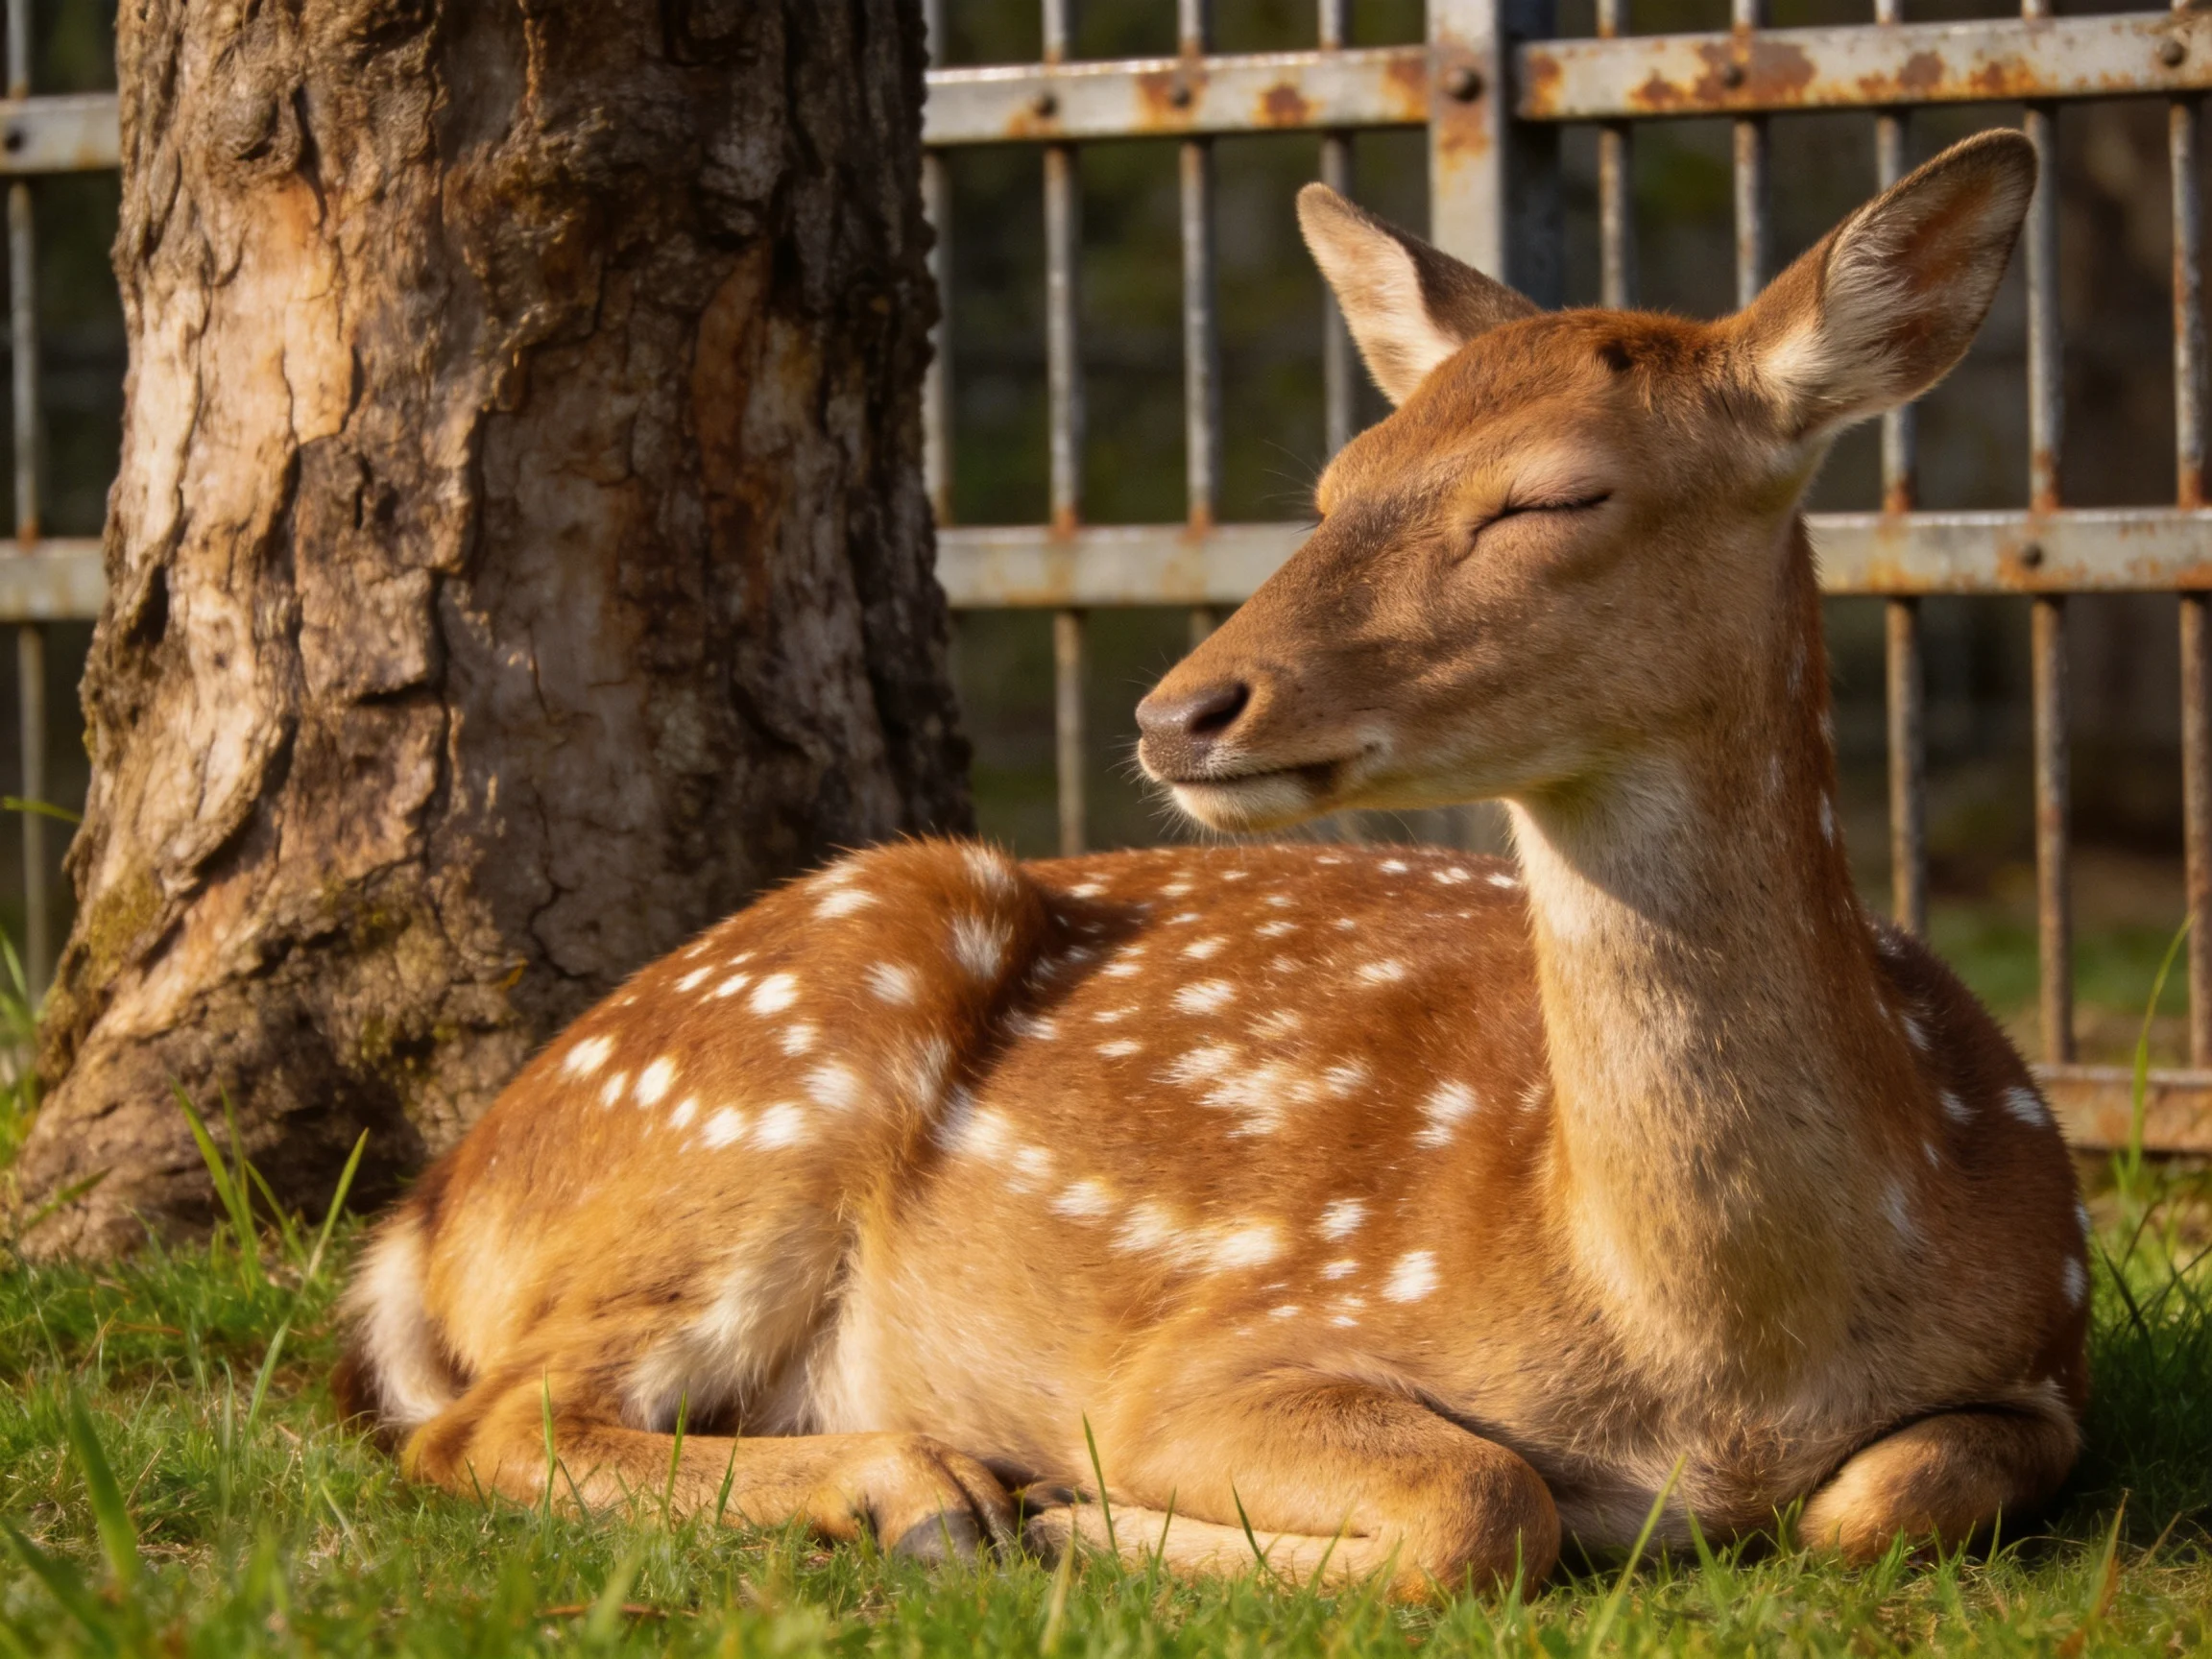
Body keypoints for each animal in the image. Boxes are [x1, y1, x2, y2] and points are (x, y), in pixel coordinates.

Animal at [336, 129, 2088, 1599]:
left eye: (1554, 493)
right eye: (1333, 483)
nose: (1180, 710)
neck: (1717, 1364)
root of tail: (432, 1212)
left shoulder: (2048, 1354)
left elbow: (1887, 1495)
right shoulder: (1217, 1344)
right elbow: (1483, 1501)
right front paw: (1073, 1505)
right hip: (765, 1076)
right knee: (485, 1425)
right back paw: (927, 1493)